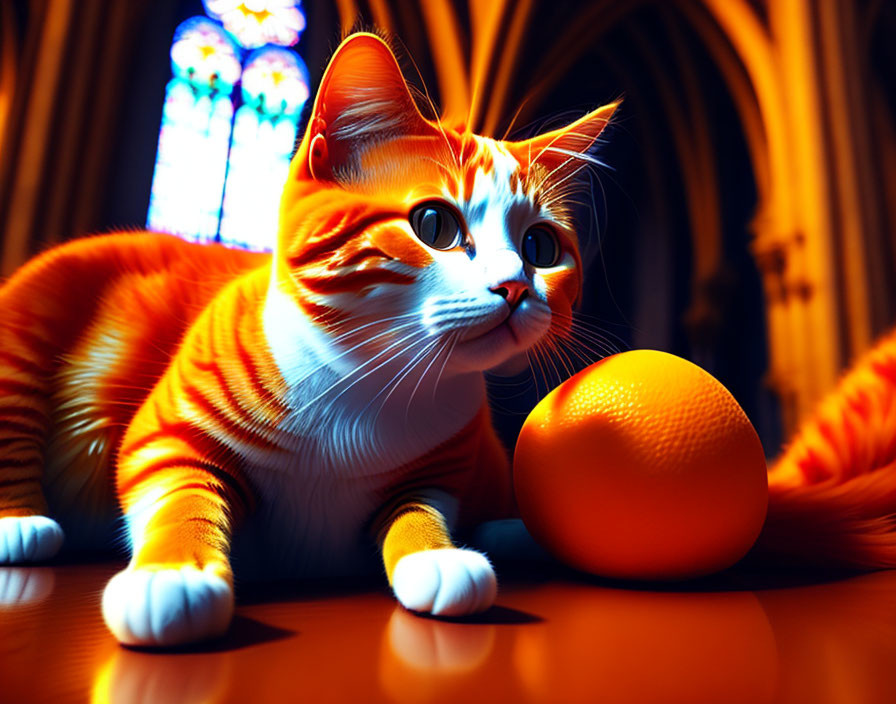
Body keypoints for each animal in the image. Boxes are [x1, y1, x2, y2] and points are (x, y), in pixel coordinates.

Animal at [0, 35, 616, 648]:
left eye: (540, 247)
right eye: (434, 225)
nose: (514, 286)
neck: (370, 380)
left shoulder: (442, 470)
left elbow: (421, 509)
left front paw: (436, 555)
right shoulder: (167, 436)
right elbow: (180, 497)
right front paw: (171, 573)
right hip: (32, 321)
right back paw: (19, 523)